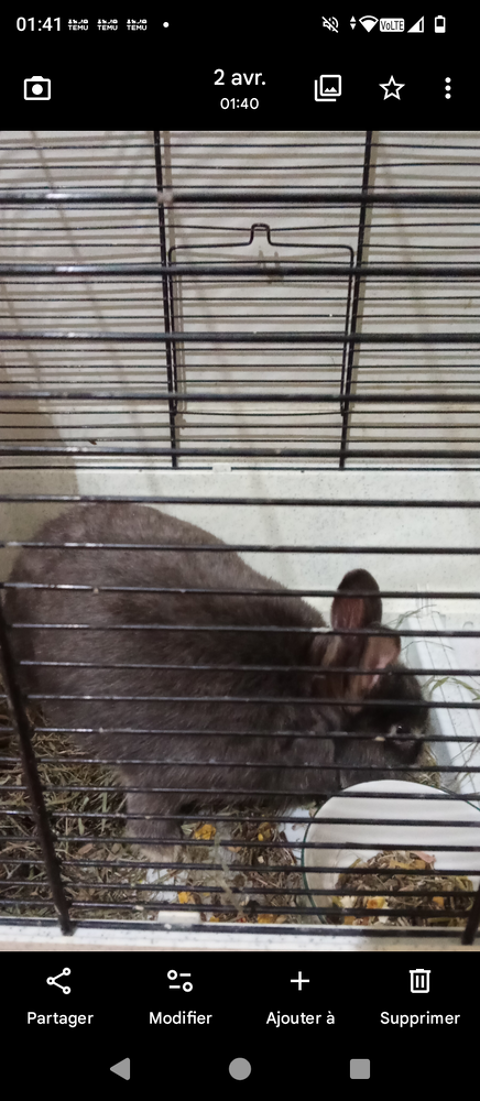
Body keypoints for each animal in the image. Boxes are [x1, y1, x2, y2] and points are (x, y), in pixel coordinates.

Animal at [3, 502, 428, 861]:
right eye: (401, 731)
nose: (421, 754)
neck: (306, 698)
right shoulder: (159, 776)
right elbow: (148, 816)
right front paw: (167, 853)